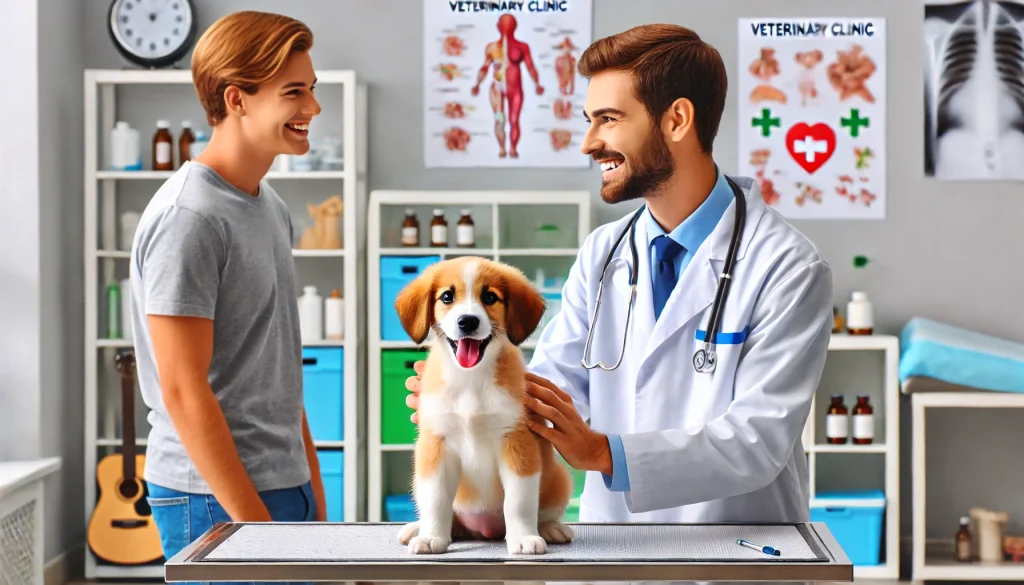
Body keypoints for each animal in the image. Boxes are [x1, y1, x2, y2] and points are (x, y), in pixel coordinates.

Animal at [393, 258, 577, 557]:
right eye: (447, 296)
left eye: (490, 297)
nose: (467, 321)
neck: (470, 380)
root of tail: (484, 530)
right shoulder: (436, 446)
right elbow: (436, 500)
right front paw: (431, 537)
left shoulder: (517, 442)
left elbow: (518, 502)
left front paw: (524, 538)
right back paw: (417, 528)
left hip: (559, 479)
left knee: (543, 513)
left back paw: (551, 529)